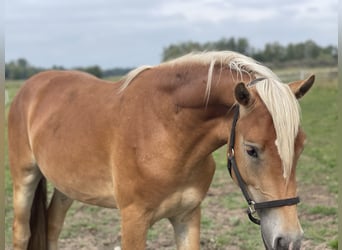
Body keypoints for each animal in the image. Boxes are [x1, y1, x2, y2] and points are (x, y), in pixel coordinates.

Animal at [8, 49, 314, 249]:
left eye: (300, 147)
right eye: (251, 150)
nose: (289, 240)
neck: (166, 132)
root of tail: (31, 87)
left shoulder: (187, 216)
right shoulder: (133, 221)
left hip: (67, 187)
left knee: (52, 227)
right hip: (24, 179)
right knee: (22, 233)